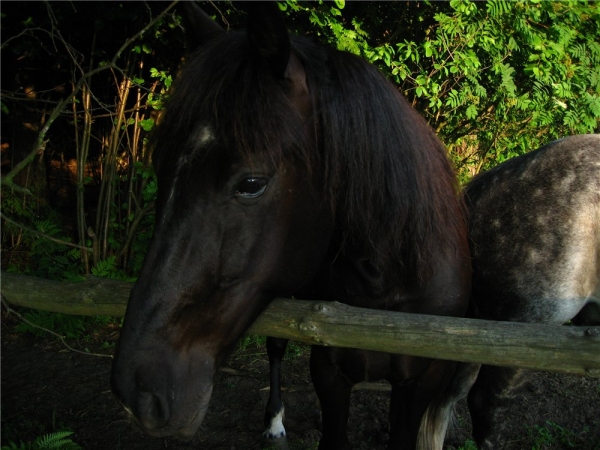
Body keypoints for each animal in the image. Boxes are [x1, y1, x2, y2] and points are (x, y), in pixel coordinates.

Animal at [110, 4, 472, 450]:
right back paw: (275, 421)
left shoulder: (421, 385)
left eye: (251, 183)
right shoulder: (330, 372)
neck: (387, 289)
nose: (136, 391)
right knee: (277, 346)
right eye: (161, 169)